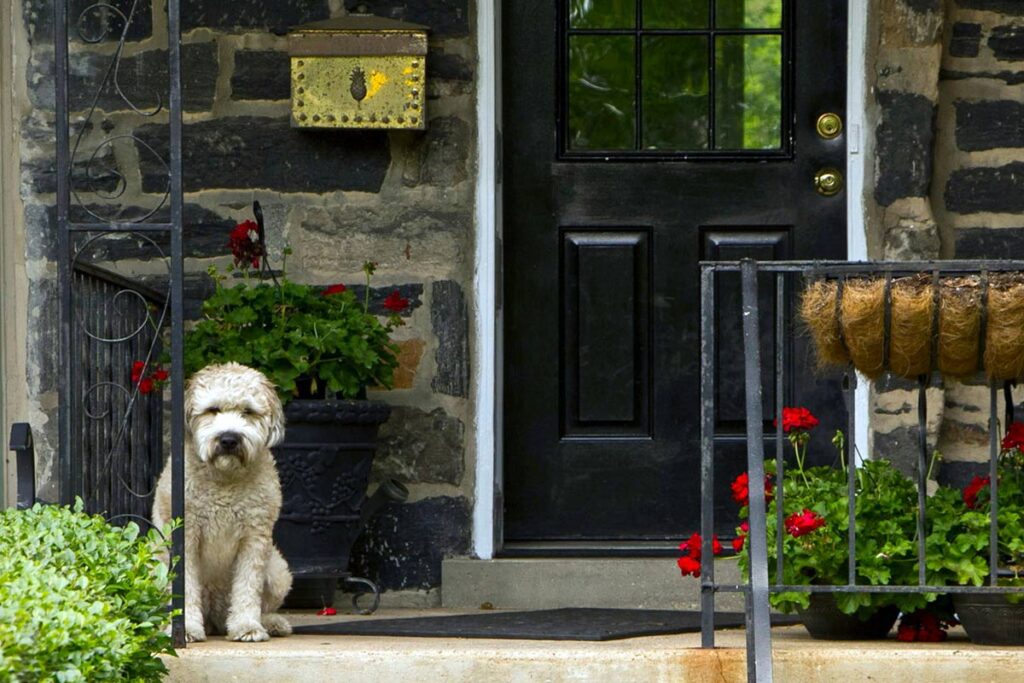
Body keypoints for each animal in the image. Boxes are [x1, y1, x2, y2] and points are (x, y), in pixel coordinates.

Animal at [153, 362, 294, 643]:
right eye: (212, 410)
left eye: (248, 412)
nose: (229, 439)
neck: (224, 479)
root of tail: (214, 618)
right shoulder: (186, 535)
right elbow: (185, 588)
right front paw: (186, 629)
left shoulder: (254, 538)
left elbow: (248, 587)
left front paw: (247, 626)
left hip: (279, 572)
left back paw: (270, 622)